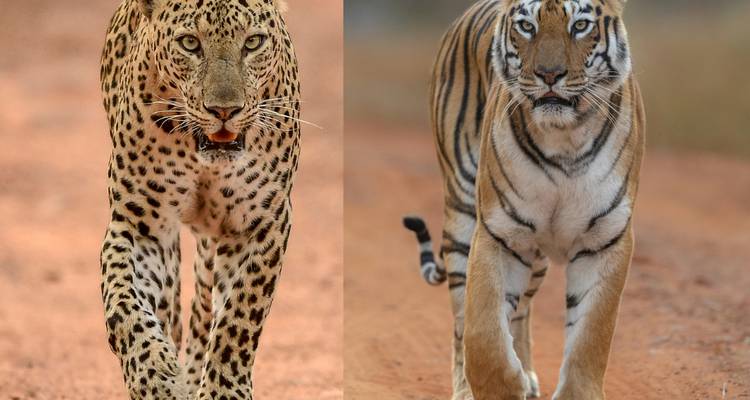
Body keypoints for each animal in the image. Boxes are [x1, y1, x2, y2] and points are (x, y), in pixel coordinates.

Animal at [404, 0, 645, 399]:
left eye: (580, 25)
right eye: (527, 26)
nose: (550, 75)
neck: (565, 139)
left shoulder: (604, 239)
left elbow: (591, 337)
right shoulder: (499, 233)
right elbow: (483, 334)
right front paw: (502, 384)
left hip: (537, 258)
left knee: (521, 312)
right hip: (462, 215)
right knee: (462, 319)